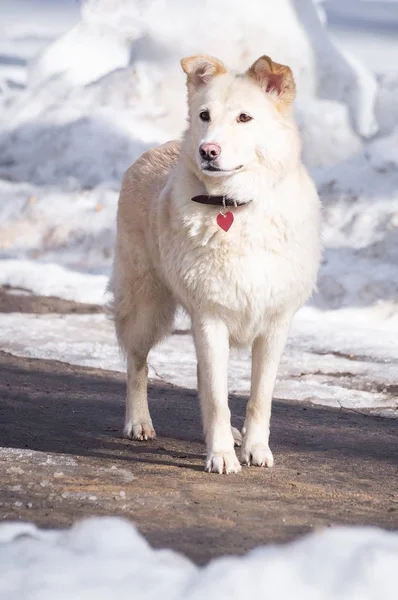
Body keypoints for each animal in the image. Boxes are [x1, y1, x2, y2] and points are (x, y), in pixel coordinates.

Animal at [110, 52, 322, 474]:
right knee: (137, 365)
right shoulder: (210, 319)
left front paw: (254, 448)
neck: (236, 207)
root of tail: (155, 149)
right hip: (146, 307)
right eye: (204, 115)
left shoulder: (274, 326)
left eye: (244, 118)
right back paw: (138, 422)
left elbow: (258, 398)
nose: (207, 151)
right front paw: (221, 455)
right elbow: (216, 397)